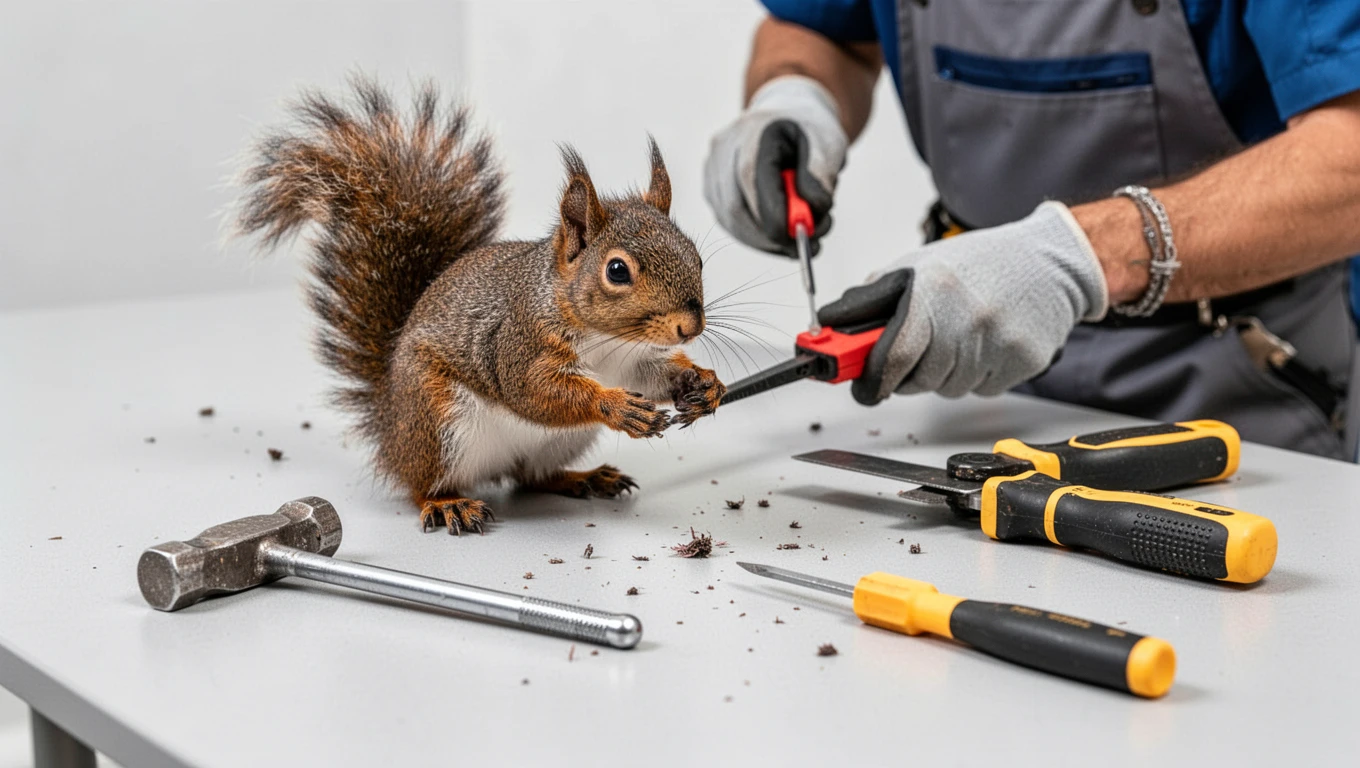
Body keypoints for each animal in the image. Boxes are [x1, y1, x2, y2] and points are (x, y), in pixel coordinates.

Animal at [236, 78, 725, 535]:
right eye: (618, 271)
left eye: (697, 257)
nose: (690, 327)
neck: (605, 338)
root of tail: (389, 426)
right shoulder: (517, 344)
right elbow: (534, 391)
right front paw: (614, 405)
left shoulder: (631, 361)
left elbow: (651, 376)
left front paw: (703, 383)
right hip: (437, 421)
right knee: (422, 484)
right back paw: (446, 503)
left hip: (559, 440)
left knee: (530, 476)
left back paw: (583, 478)